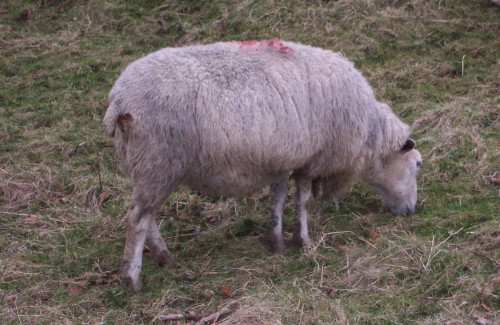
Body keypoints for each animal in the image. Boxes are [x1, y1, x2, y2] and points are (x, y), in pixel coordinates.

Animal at [104, 39, 422, 290]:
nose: (410, 211)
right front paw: (304, 240)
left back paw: (164, 257)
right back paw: (132, 279)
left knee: (145, 216)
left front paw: (277, 240)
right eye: (417, 164)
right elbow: (303, 200)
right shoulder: (312, 160)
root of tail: (119, 100)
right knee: (138, 220)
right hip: (160, 161)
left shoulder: (281, 159)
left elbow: (278, 198)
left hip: (147, 167)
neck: (368, 131)